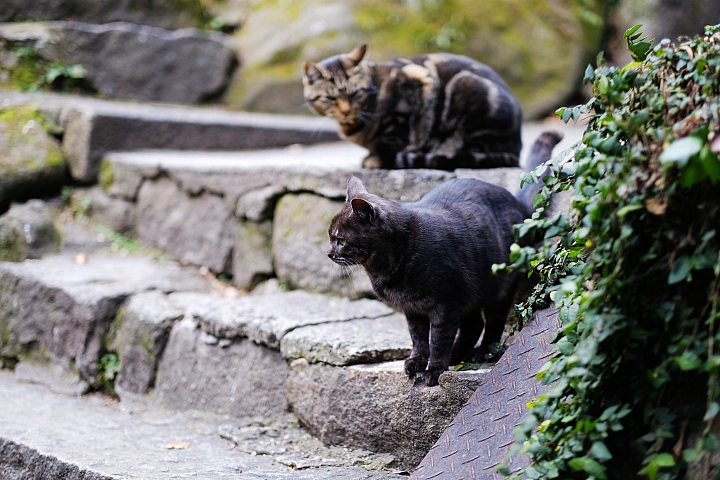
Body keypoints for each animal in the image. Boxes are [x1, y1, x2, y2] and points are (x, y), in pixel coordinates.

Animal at [300, 43, 520, 171]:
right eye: (330, 98)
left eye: (354, 93)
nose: (346, 111)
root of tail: (518, 145)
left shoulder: (414, 92)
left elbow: (393, 138)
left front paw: (375, 159)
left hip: (467, 89)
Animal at [326, 131, 564, 386]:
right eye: (330, 236)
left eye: (341, 240)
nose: (329, 253)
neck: (386, 267)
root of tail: (518, 204)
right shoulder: (414, 309)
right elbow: (419, 339)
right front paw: (417, 362)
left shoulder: (446, 305)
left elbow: (438, 340)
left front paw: (434, 370)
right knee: (473, 325)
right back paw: (458, 355)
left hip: (498, 288)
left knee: (492, 322)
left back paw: (482, 353)